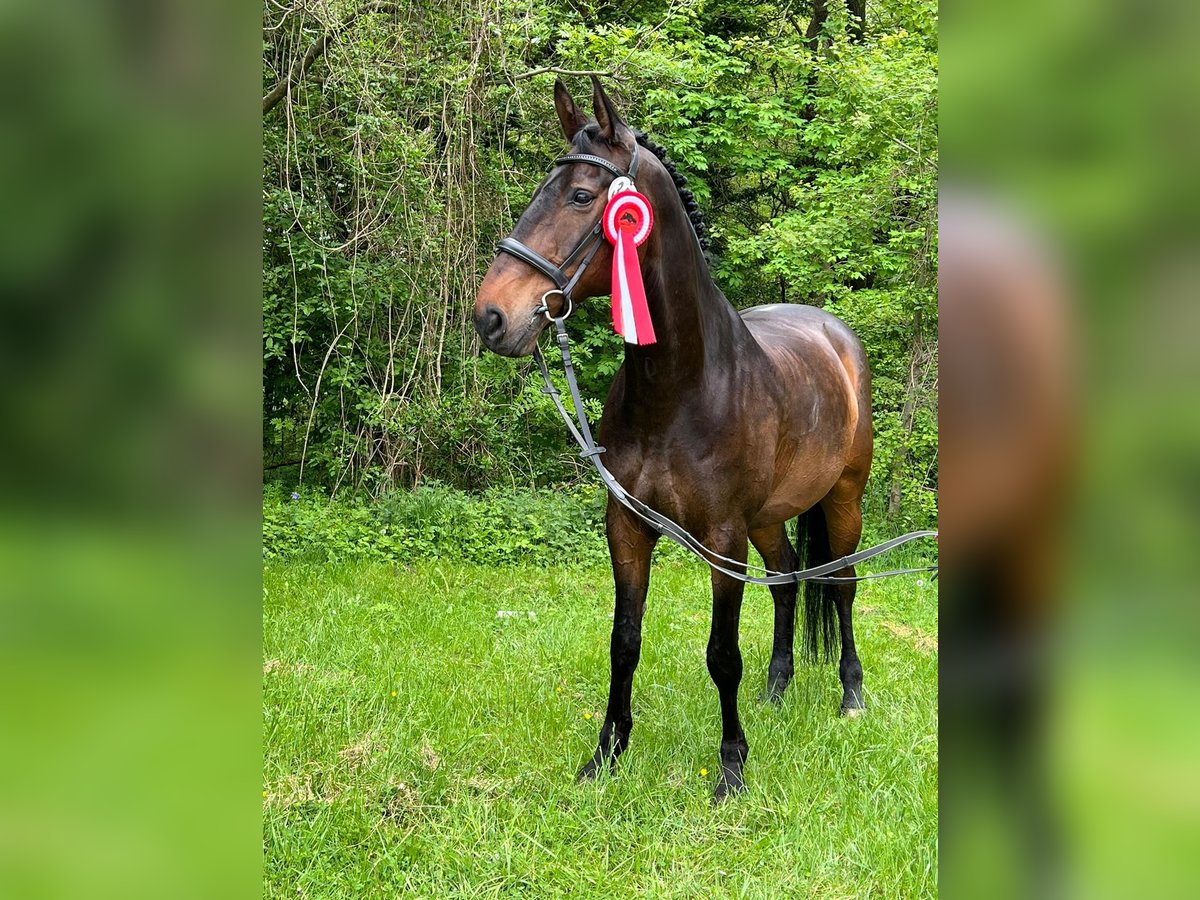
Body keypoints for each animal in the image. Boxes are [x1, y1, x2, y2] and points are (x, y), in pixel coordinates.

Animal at [475, 79, 873, 801]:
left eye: (582, 197)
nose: (491, 316)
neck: (680, 389)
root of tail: (835, 334)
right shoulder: (628, 526)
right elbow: (623, 642)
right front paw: (606, 755)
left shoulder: (721, 537)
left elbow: (722, 654)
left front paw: (732, 768)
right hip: (768, 519)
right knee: (787, 581)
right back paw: (777, 689)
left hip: (844, 498)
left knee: (842, 583)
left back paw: (850, 696)